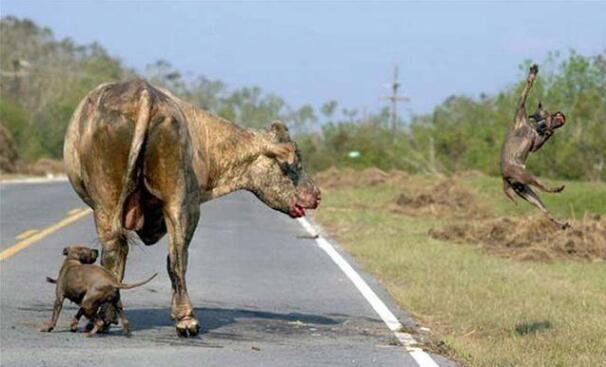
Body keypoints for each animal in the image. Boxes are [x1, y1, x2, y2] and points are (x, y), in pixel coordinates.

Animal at [63, 79, 324, 338]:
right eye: (295, 163)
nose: (317, 195)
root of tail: (143, 92)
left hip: (120, 203)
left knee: (130, 254)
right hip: (173, 203)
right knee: (171, 258)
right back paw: (183, 320)